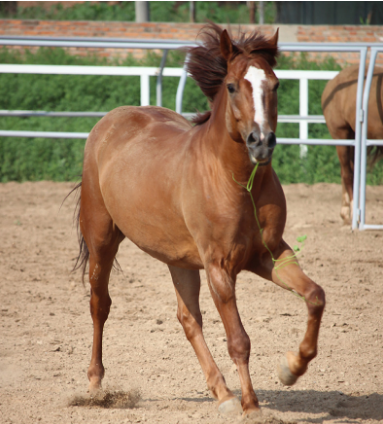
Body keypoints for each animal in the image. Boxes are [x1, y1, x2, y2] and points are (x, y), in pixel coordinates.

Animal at [73, 24, 326, 418]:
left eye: (275, 84)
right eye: (232, 86)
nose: (261, 142)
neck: (235, 181)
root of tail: (111, 120)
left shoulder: (269, 255)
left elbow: (315, 296)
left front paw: (291, 368)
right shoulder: (219, 267)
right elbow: (239, 340)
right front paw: (252, 406)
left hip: (179, 261)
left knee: (188, 319)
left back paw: (222, 394)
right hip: (102, 240)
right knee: (100, 305)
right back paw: (96, 387)